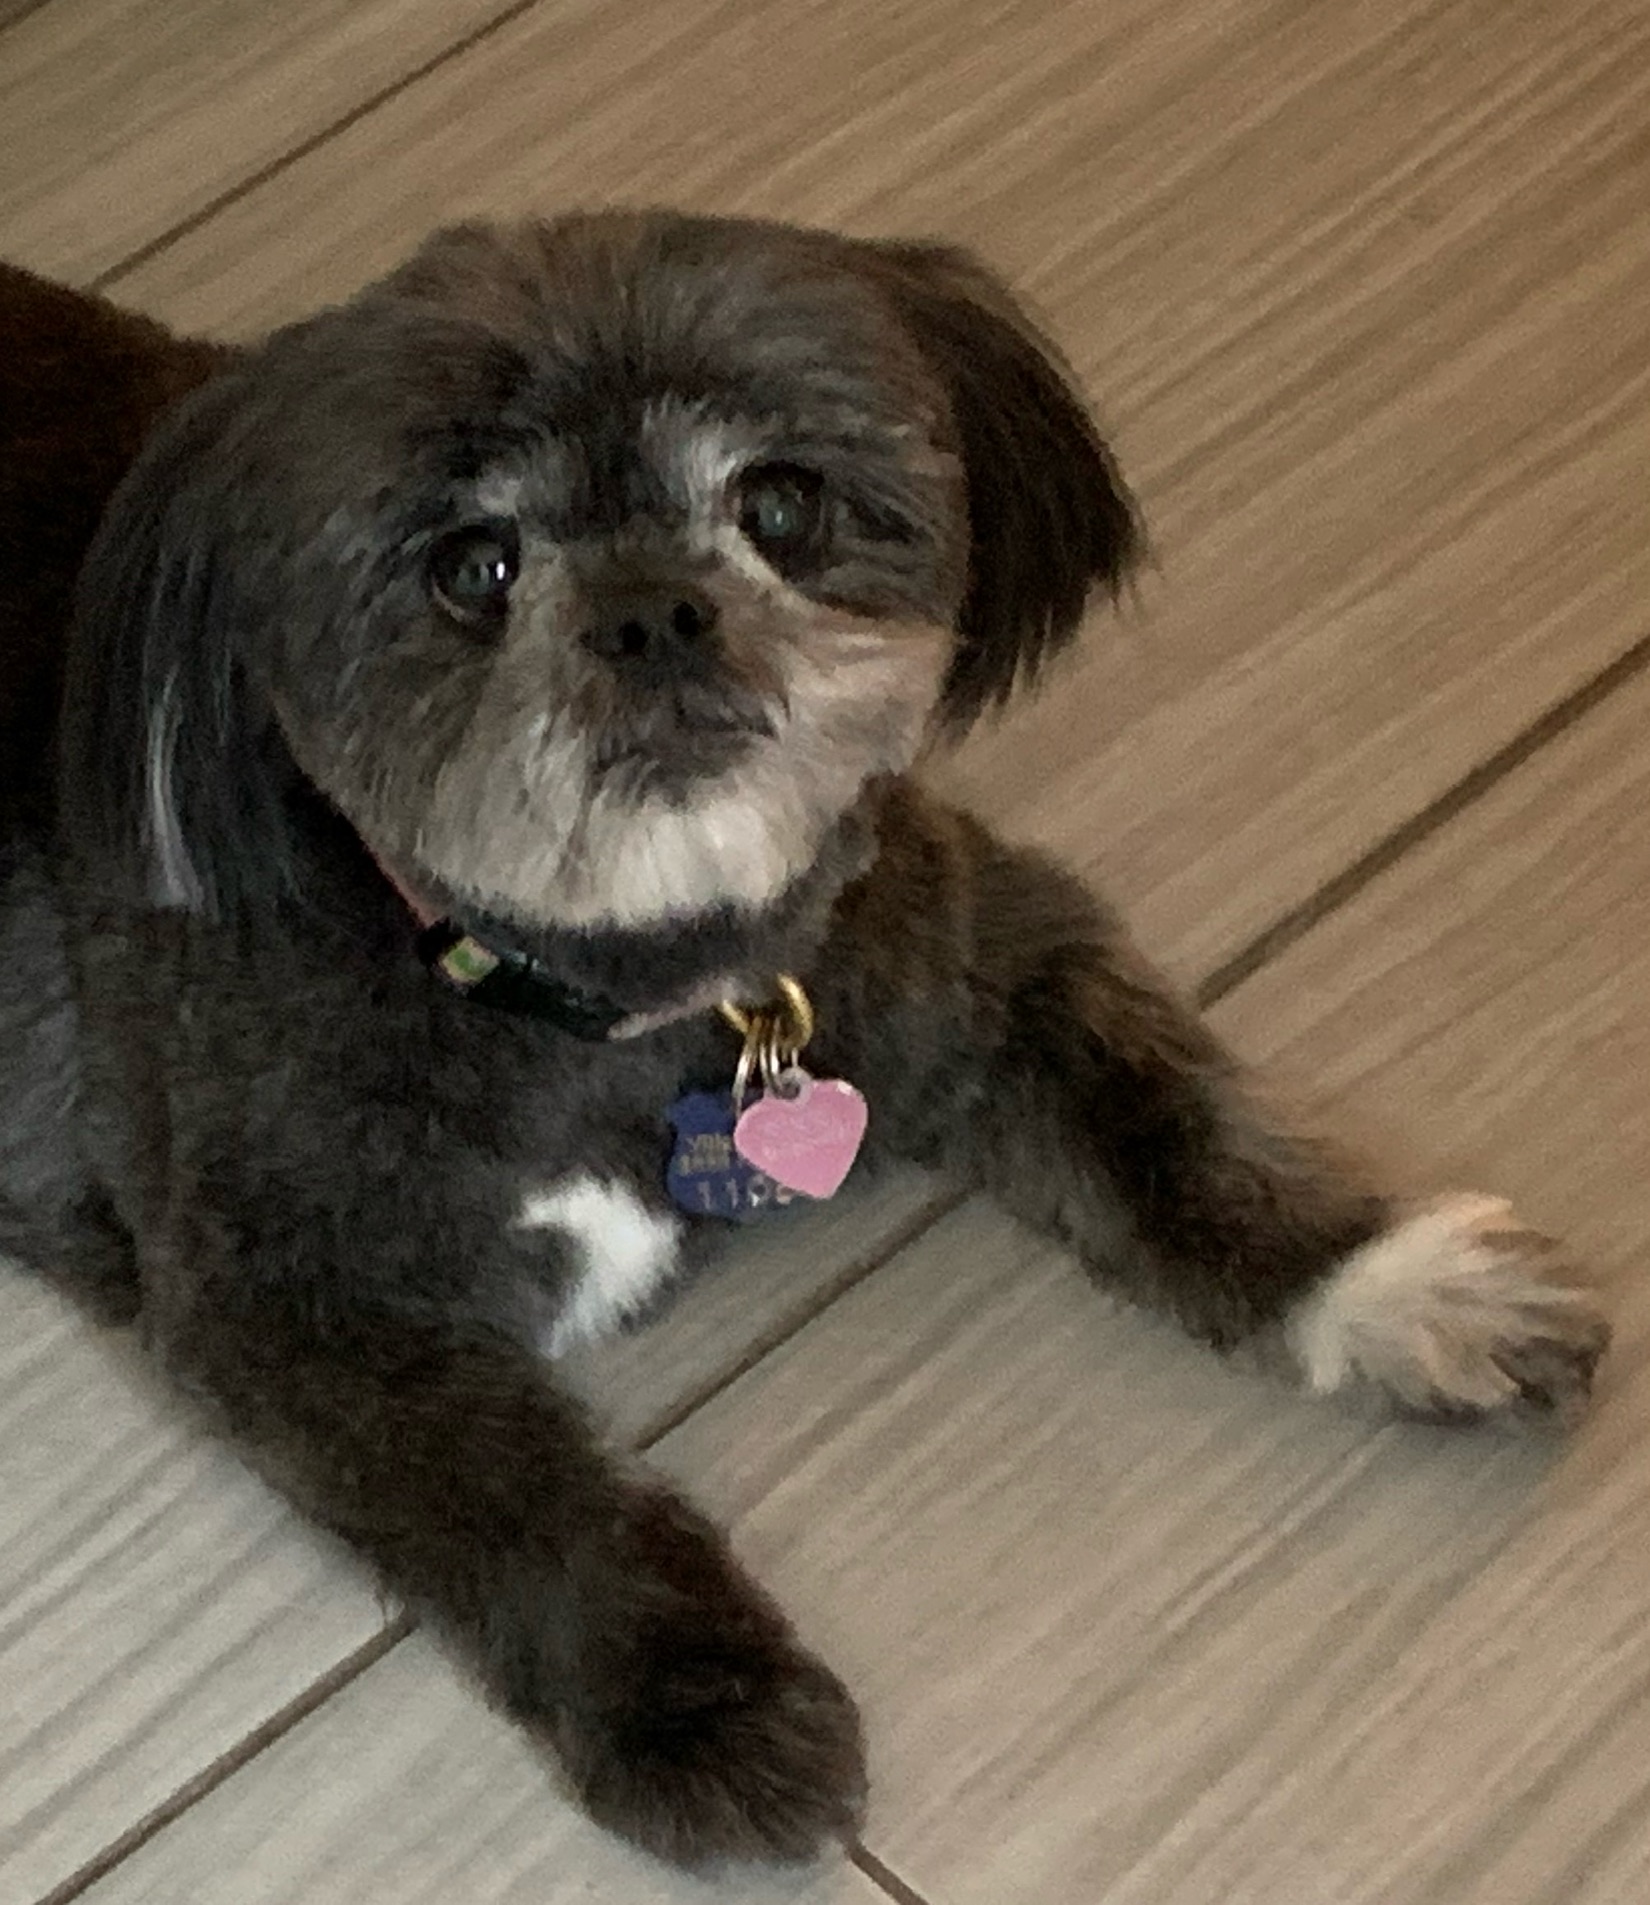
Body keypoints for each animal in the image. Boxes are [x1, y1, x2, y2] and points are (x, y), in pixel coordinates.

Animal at [0, 213, 1611, 1870]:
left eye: (777, 501)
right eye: (471, 568)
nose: (650, 612)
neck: (610, 991)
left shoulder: (971, 956)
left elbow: (1168, 1130)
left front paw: (1389, 1276)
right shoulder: (287, 1301)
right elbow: (509, 1491)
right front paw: (699, 1706)